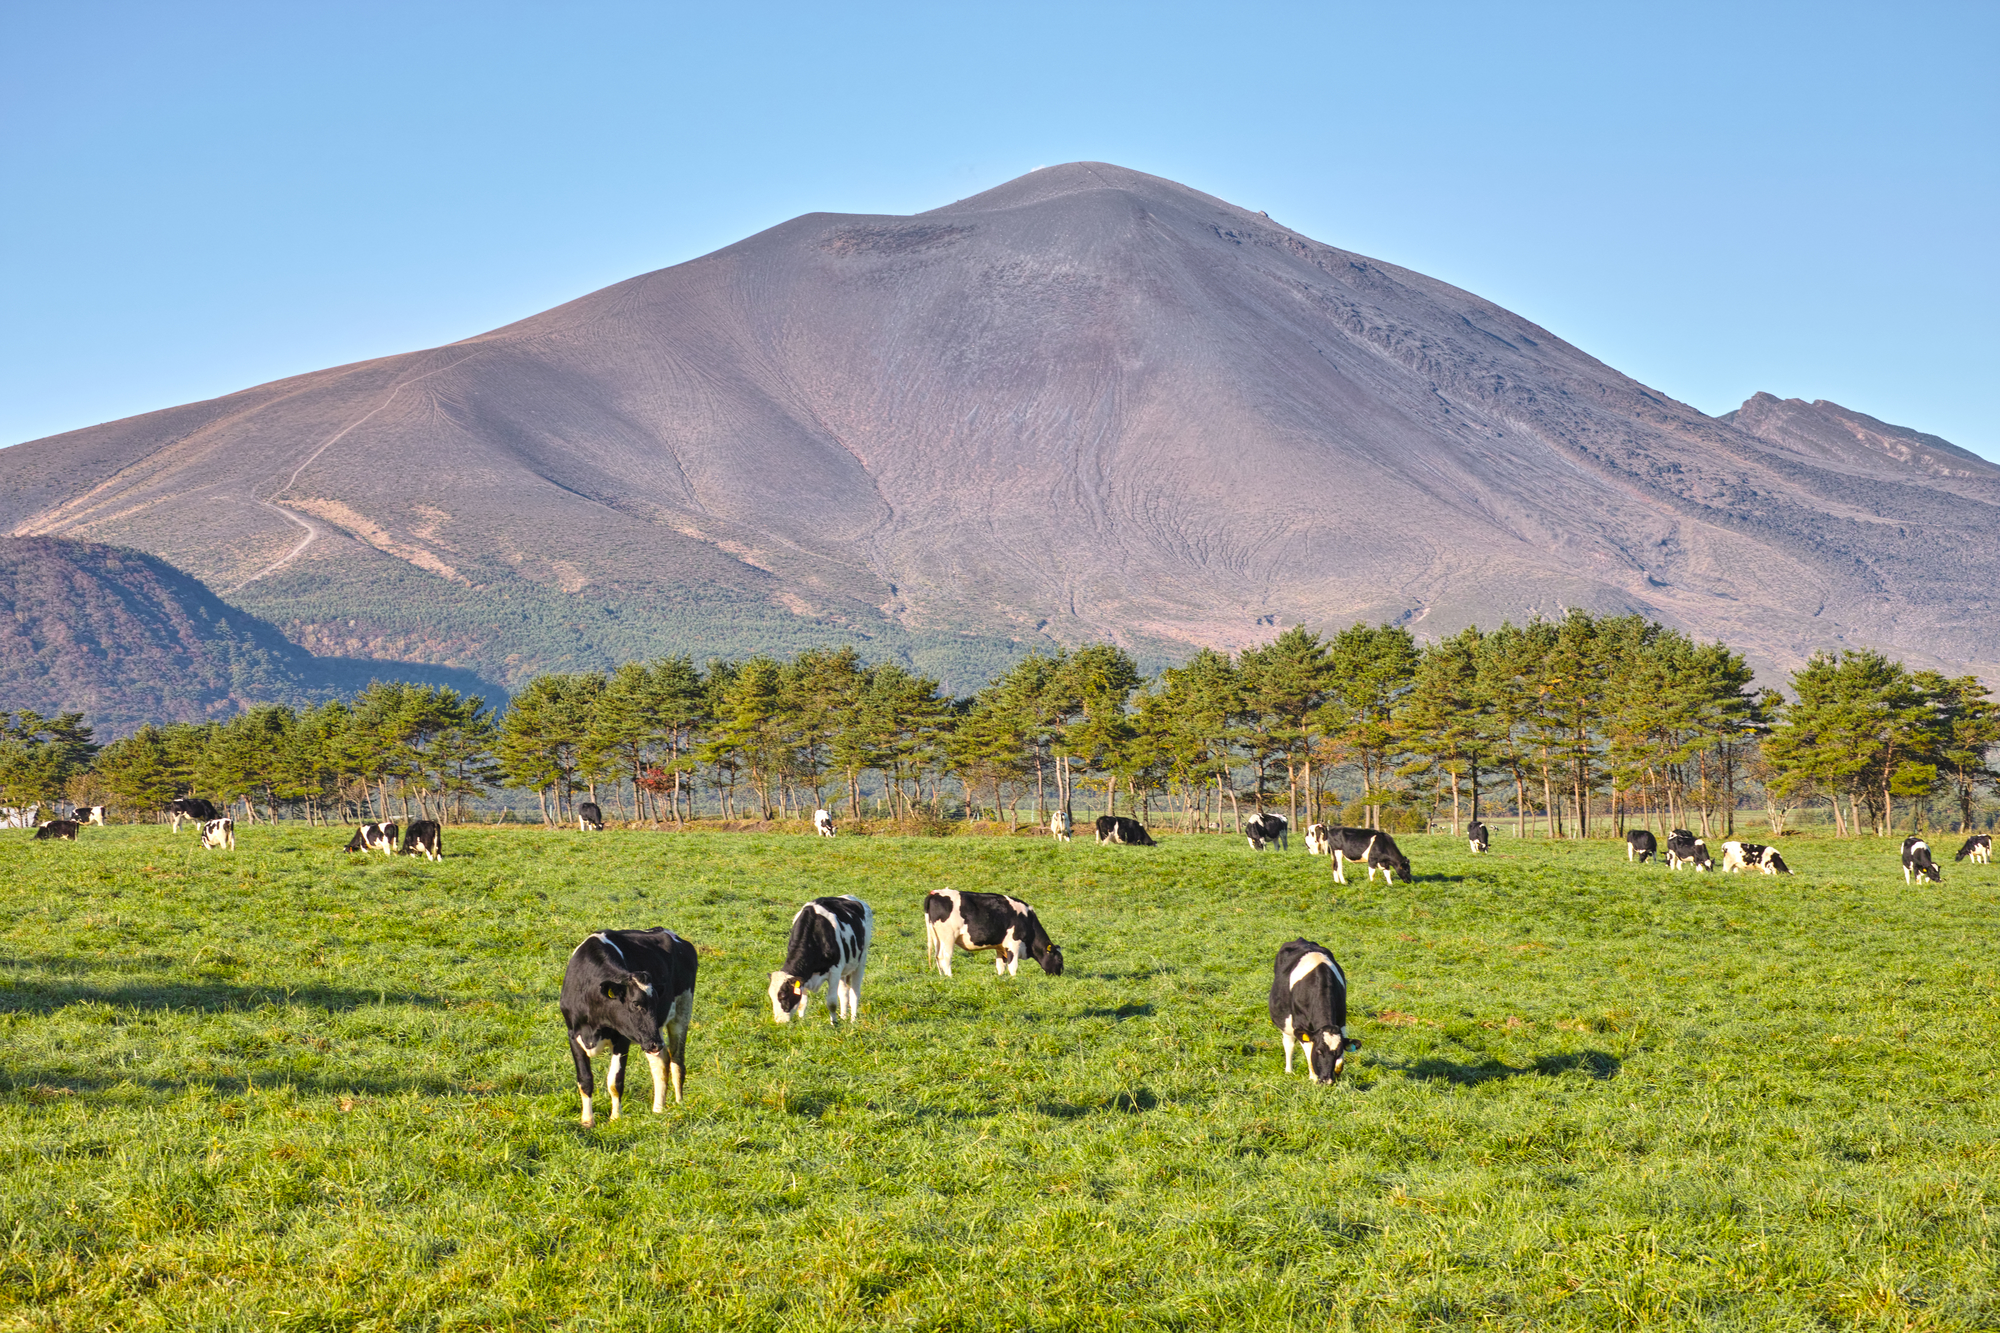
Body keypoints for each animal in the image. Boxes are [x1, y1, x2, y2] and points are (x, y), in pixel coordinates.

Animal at [560, 924, 700, 1120]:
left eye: (656, 1003)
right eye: (635, 1003)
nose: (656, 1043)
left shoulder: (622, 1038)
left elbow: (615, 1081)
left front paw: (616, 1119)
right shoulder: (573, 1035)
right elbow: (585, 1080)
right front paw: (587, 1120)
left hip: (680, 1013)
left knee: (677, 1061)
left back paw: (679, 1104)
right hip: (649, 1035)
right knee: (661, 1062)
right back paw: (658, 1109)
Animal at [1264, 932, 1360, 1080]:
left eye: (1337, 1053)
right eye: (1319, 1051)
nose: (1327, 1080)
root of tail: (1301, 940)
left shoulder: (1341, 1021)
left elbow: (1341, 1061)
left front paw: (1336, 1071)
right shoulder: (1300, 1026)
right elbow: (1309, 1053)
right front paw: (1314, 1077)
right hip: (1285, 1023)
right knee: (1288, 1044)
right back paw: (1289, 1071)